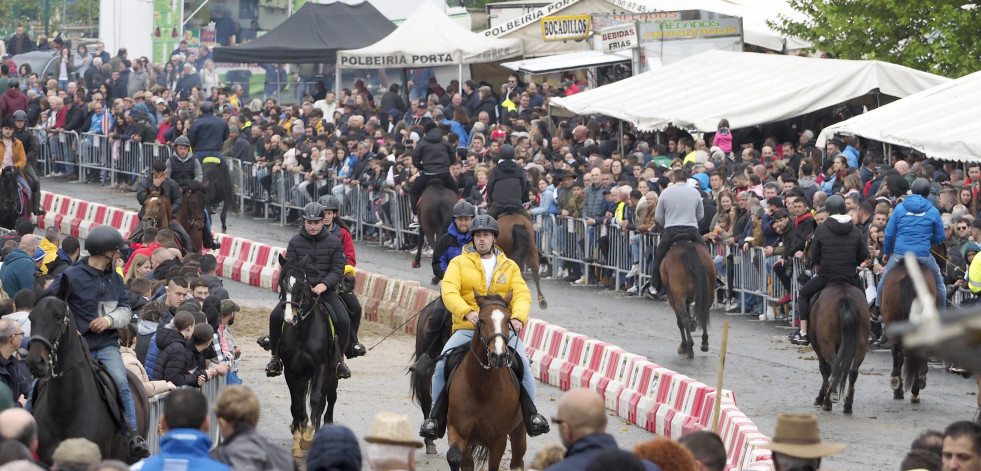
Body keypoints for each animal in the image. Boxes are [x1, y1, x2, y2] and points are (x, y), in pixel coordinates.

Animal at [274, 254, 342, 458]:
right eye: (281, 284)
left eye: (301, 285)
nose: (290, 318)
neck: (303, 332)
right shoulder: (292, 371)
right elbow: (297, 405)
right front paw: (298, 439)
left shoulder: (320, 368)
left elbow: (316, 400)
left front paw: (307, 438)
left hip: (332, 372)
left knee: (329, 397)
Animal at [448, 292, 528, 471]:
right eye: (482, 320)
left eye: (508, 319)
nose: (498, 356)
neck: (481, 387)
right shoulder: (458, 431)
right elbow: (456, 458)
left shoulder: (499, 440)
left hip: (519, 430)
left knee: (517, 461)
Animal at [808, 282, 868, 414]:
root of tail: (844, 296)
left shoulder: (818, 345)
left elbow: (824, 368)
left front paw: (822, 399)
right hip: (861, 345)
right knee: (853, 371)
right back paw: (848, 404)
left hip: (826, 344)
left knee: (835, 366)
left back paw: (830, 398)